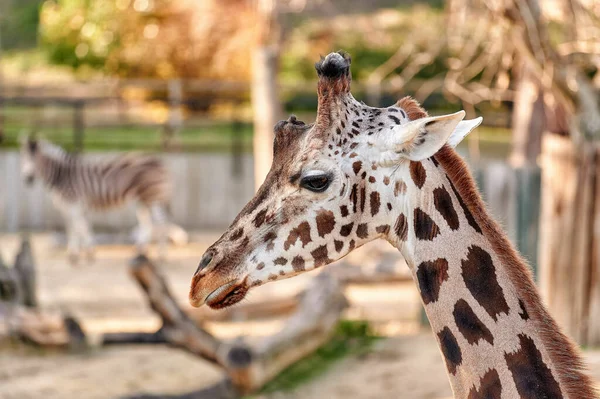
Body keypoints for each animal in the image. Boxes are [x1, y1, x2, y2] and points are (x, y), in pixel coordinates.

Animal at [19, 136, 188, 264]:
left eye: (35, 160)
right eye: (24, 158)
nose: (27, 179)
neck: (62, 176)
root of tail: (159, 161)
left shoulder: (74, 204)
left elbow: (78, 228)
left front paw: (81, 253)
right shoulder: (72, 207)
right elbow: (77, 227)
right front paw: (80, 252)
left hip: (152, 197)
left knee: (162, 222)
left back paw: (161, 254)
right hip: (143, 200)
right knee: (148, 223)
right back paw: (141, 250)